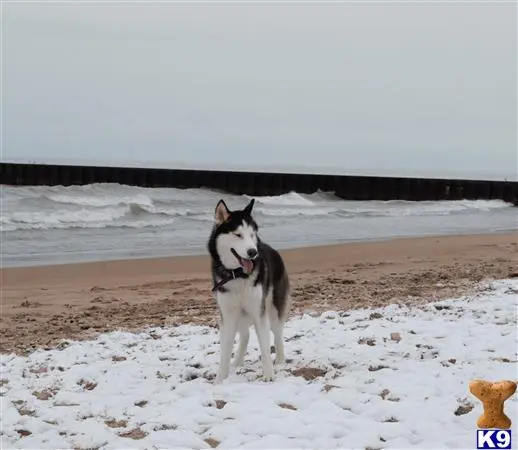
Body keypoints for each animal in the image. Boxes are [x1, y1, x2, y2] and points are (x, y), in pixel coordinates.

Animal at [207, 199, 290, 382]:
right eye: (238, 235)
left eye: (252, 234)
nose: (253, 252)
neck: (237, 274)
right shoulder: (228, 314)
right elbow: (225, 349)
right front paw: (220, 378)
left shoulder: (259, 312)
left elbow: (265, 347)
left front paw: (269, 376)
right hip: (240, 314)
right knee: (245, 335)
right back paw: (237, 362)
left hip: (273, 309)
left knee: (278, 333)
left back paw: (280, 360)